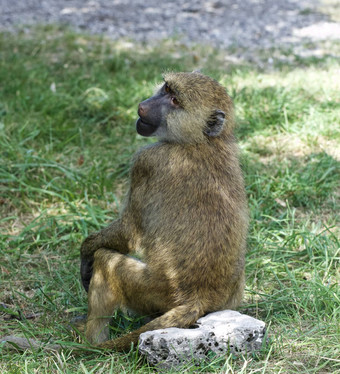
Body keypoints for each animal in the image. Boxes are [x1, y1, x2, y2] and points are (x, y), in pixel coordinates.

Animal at [81, 71, 248, 352]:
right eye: (166, 89)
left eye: (175, 101)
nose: (142, 106)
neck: (202, 141)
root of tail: (200, 297)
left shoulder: (147, 161)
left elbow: (127, 234)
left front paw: (86, 251)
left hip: (154, 290)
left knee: (107, 261)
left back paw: (88, 341)